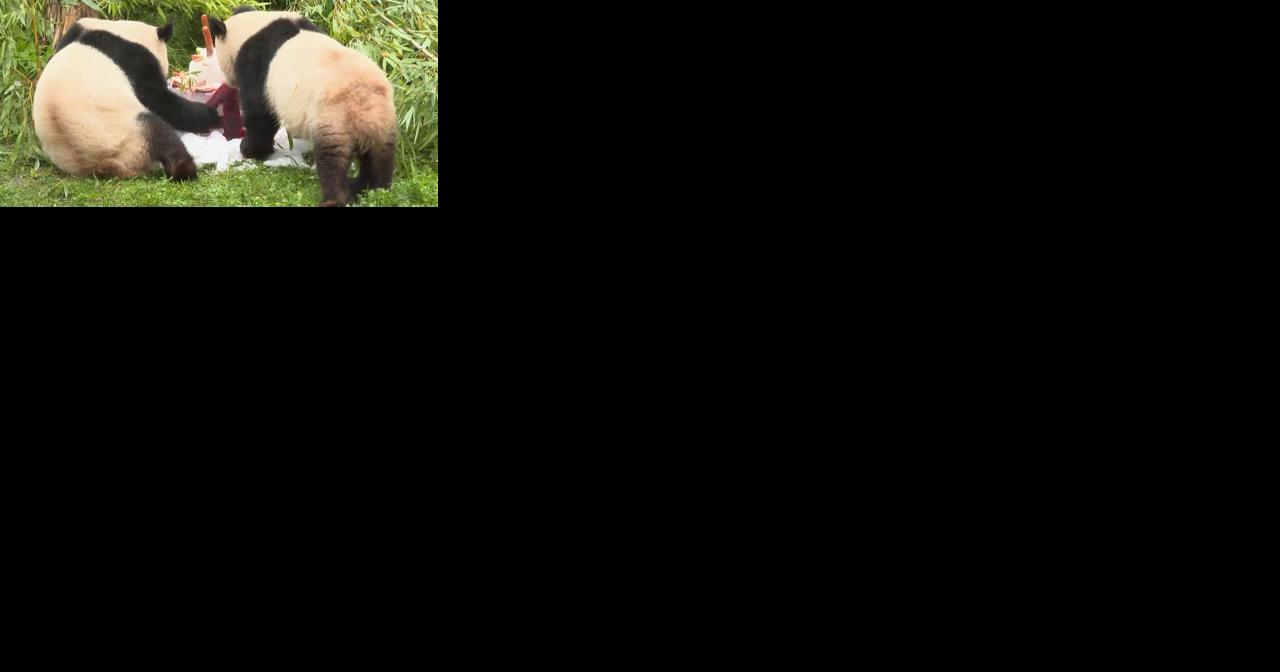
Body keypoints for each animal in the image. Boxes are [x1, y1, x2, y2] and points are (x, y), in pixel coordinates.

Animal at [33, 18, 220, 181]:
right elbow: (159, 100)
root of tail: (105, 166)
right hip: (127, 132)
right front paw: (212, 114)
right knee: (161, 133)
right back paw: (185, 170)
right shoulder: (132, 59)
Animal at [208, 7, 397, 207]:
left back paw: (334, 198)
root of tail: (363, 96)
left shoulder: (256, 66)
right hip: (382, 119)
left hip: (333, 115)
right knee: (379, 157)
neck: (250, 30)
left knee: (332, 161)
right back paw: (374, 189)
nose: (227, 81)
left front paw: (249, 149)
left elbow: (260, 114)